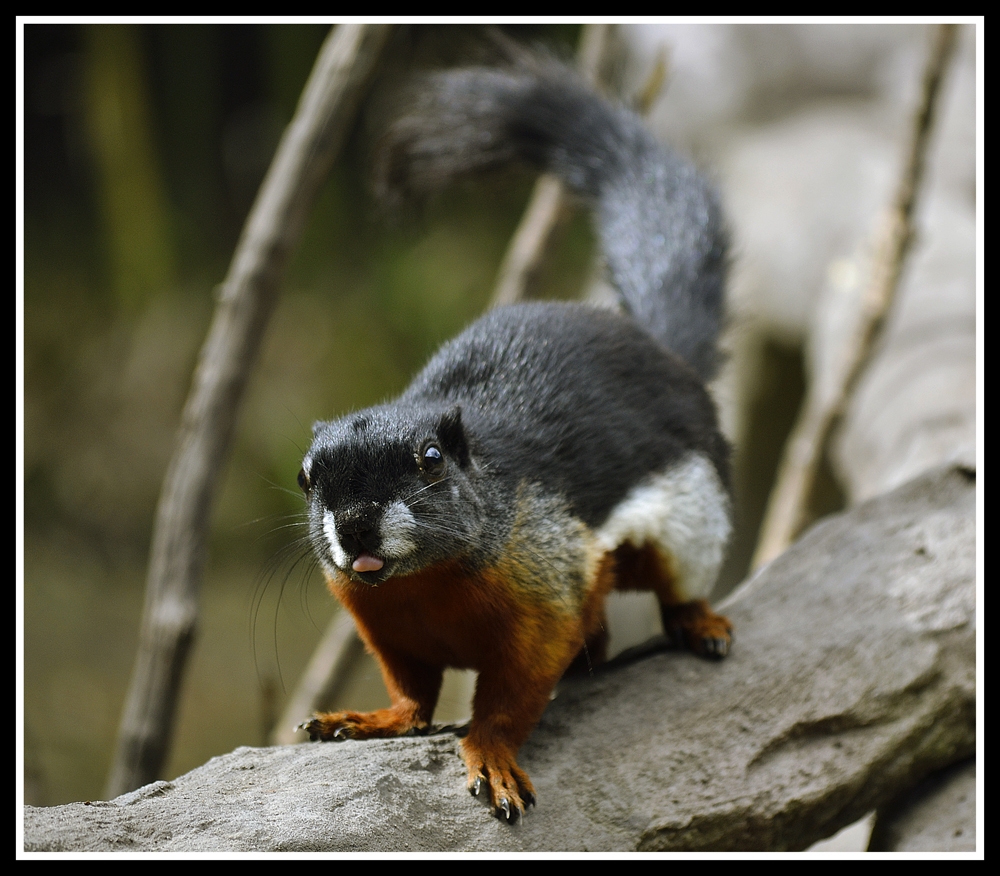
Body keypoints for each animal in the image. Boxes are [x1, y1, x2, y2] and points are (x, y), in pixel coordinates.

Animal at [296, 54, 736, 820]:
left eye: (431, 459)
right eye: (306, 477)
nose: (353, 526)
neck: (423, 586)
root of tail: (664, 352)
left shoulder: (546, 592)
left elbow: (510, 697)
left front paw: (494, 757)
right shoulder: (384, 627)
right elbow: (414, 695)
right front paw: (368, 718)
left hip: (690, 524)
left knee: (677, 585)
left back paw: (698, 622)